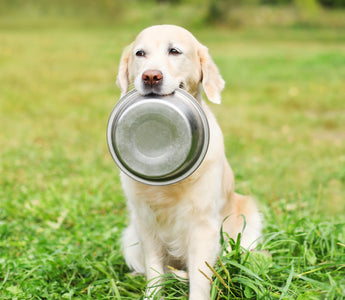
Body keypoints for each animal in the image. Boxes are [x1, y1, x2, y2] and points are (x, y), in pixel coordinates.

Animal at [115, 24, 260, 298]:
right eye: (140, 53)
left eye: (174, 51)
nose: (151, 76)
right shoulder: (145, 221)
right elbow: (154, 272)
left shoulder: (204, 225)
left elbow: (201, 279)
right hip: (130, 237)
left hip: (249, 218)